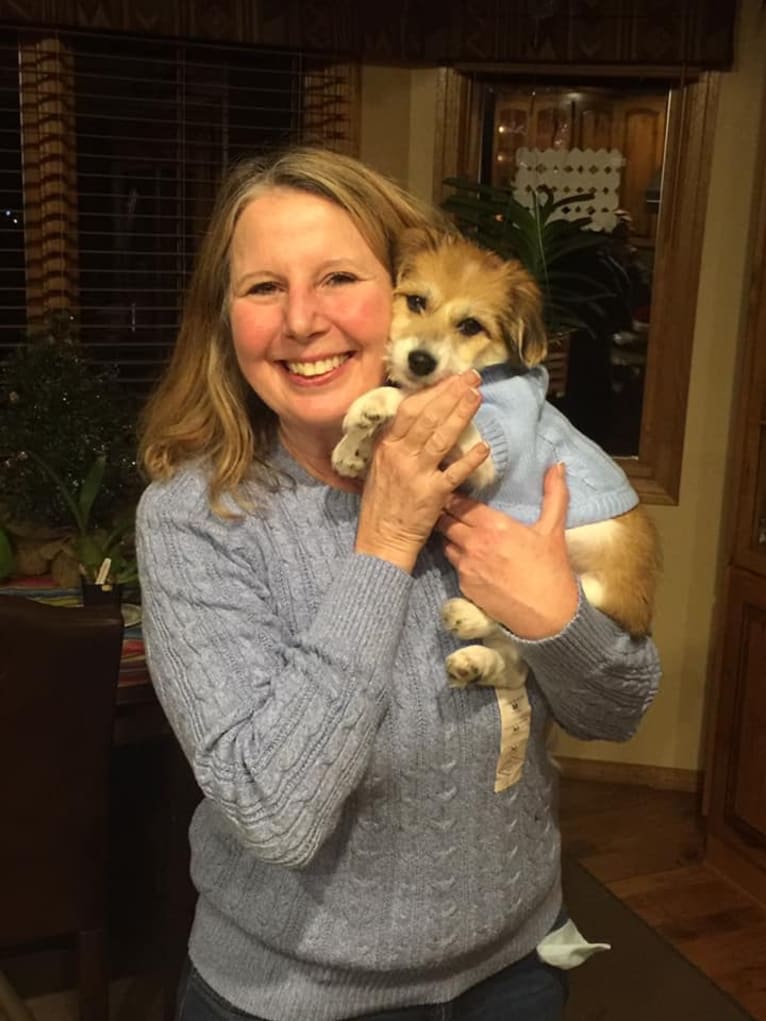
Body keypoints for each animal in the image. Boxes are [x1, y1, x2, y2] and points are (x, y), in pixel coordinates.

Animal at [330, 227, 661, 788]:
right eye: (416, 301)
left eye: (470, 325)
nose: (421, 360)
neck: (484, 375)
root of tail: (640, 608)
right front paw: (353, 448)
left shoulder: (482, 446)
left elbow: (418, 402)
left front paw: (371, 406)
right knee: (515, 661)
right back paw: (473, 657)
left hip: (582, 586)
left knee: (525, 626)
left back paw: (469, 614)